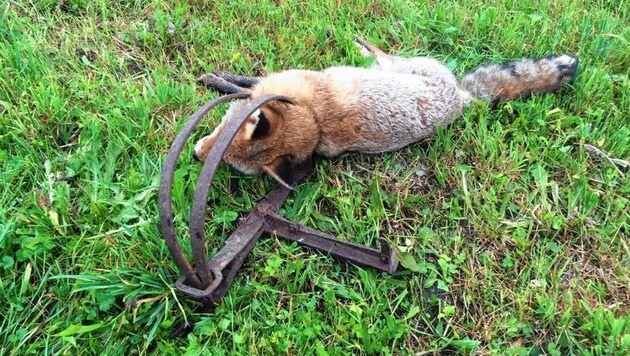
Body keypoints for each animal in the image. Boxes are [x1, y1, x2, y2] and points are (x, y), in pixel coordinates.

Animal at [195, 36, 580, 189]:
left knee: (382, 53)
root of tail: (460, 98)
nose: (198, 154)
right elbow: (246, 85)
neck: (311, 115)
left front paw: (219, 80)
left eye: (219, 137)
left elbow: (244, 83)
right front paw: (221, 81)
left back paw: (359, 42)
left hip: (399, 65)